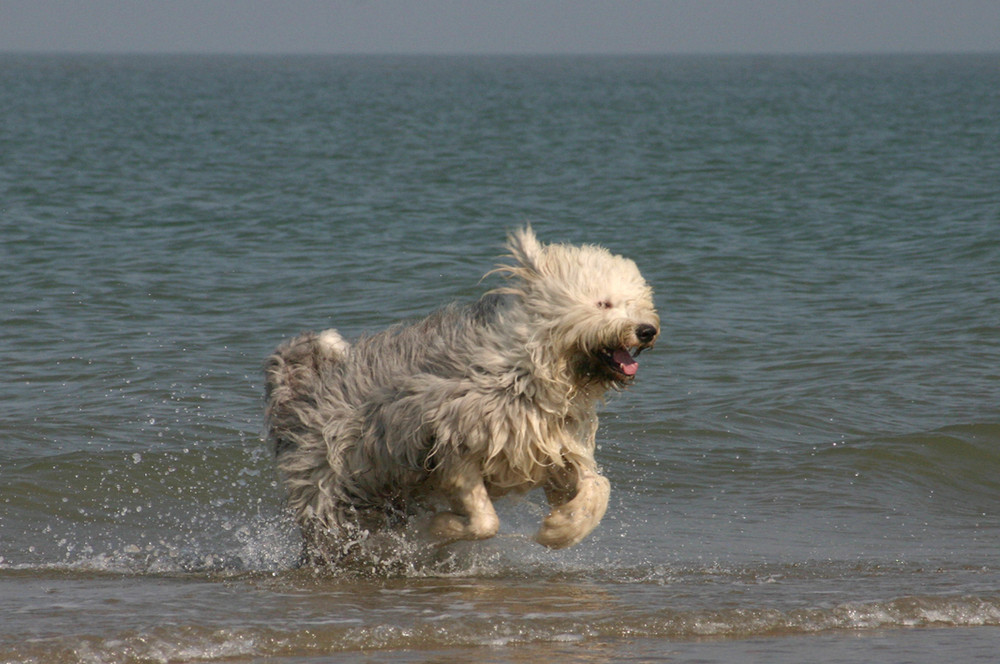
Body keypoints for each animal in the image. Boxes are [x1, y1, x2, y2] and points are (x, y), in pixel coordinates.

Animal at [266, 227, 656, 560]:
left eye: (638, 302)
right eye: (604, 304)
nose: (647, 330)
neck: (525, 365)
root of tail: (303, 384)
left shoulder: (552, 449)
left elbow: (598, 487)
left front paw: (560, 528)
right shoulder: (454, 442)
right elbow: (485, 522)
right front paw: (435, 528)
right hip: (329, 488)